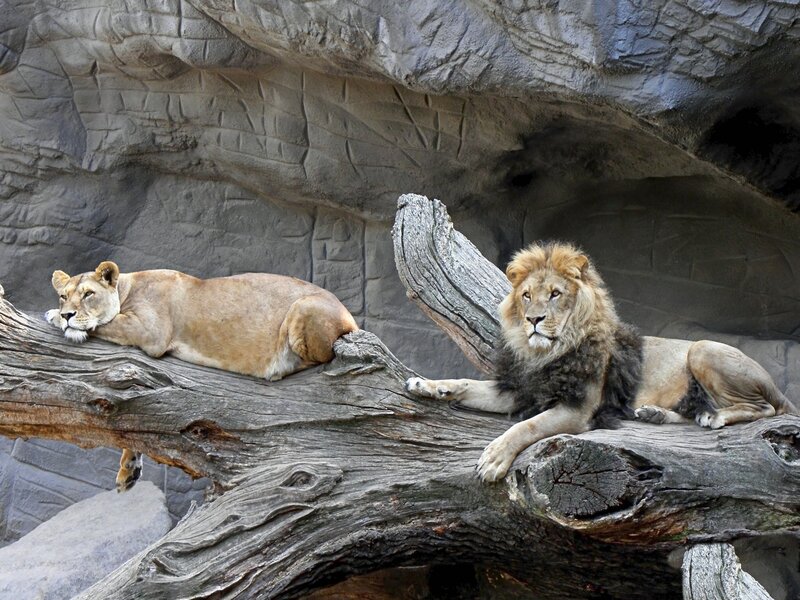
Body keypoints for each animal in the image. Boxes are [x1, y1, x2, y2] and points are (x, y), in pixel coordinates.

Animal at [46, 261, 358, 491]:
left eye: (88, 294)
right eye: (63, 295)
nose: (67, 314)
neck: (126, 289)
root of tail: (349, 314)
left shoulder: (149, 331)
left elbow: (105, 323)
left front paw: (54, 317)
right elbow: (131, 422)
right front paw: (129, 470)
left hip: (304, 307)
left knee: (319, 359)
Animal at [406, 241, 798, 482]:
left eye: (555, 294)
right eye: (527, 295)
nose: (533, 320)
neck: (546, 352)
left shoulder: (577, 409)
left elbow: (525, 428)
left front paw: (493, 459)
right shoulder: (522, 391)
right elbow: (465, 383)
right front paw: (426, 385)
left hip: (703, 349)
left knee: (764, 408)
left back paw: (714, 416)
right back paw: (656, 414)